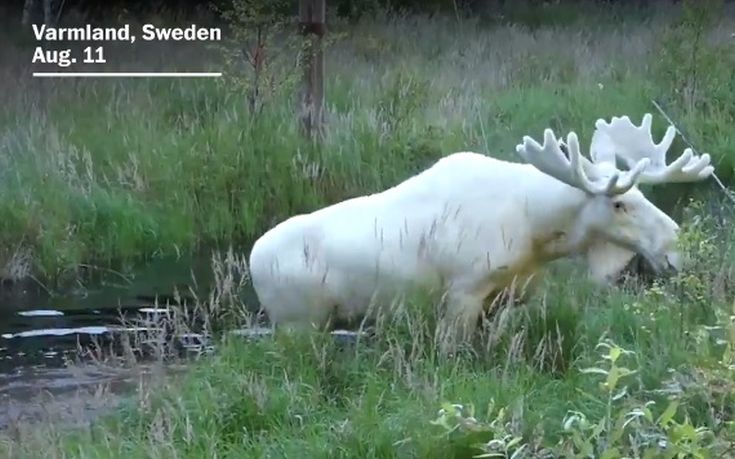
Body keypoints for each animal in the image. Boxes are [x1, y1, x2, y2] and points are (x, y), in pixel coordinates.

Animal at [249, 115, 712, 348]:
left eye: (642, 194)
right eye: (620, 203)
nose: (676, 248)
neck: (539, 231)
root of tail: (252, 259)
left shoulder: (511, 295)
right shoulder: (463, 292)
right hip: (297, 324)